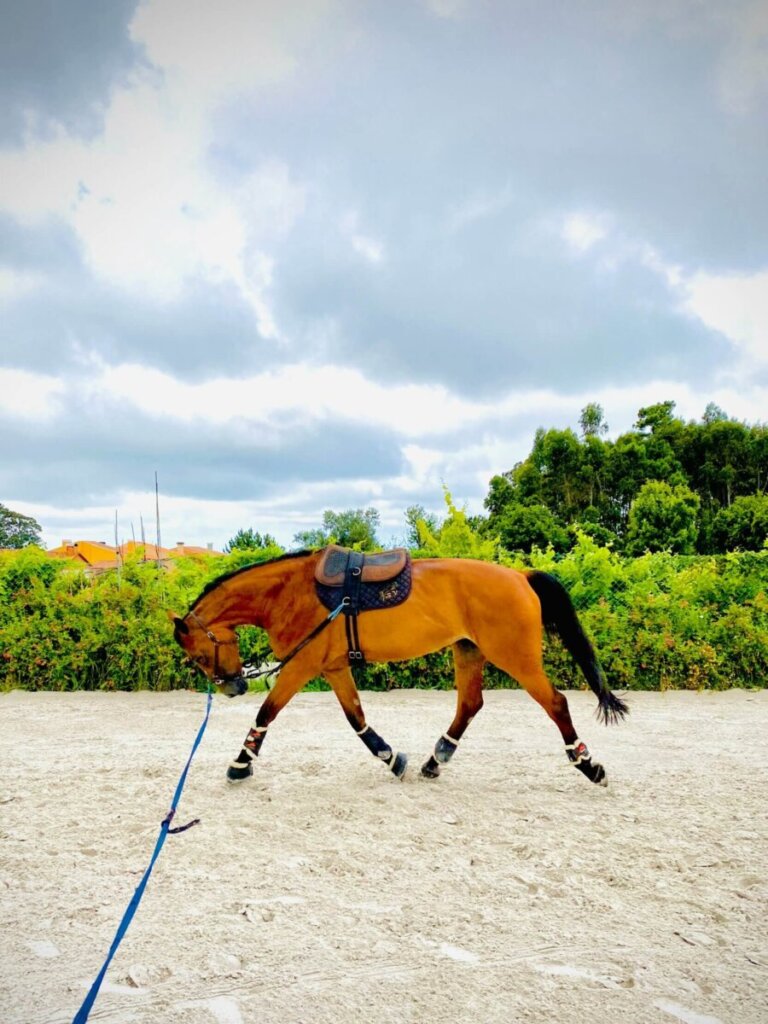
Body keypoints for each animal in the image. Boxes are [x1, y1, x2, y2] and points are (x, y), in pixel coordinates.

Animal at [169, 547, 628, 786]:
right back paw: (435, 759)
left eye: (197, 655)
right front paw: (391, 758)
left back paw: (589, 765)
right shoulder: (334, 668)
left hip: (515, 657)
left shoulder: (301, 666)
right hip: (468, 651)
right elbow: (356, 717)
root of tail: (519, 575)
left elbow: (267, 714)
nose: (232, 687)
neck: (288, 593)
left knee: (556, 703)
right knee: (470, 705)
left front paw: (240, 764)